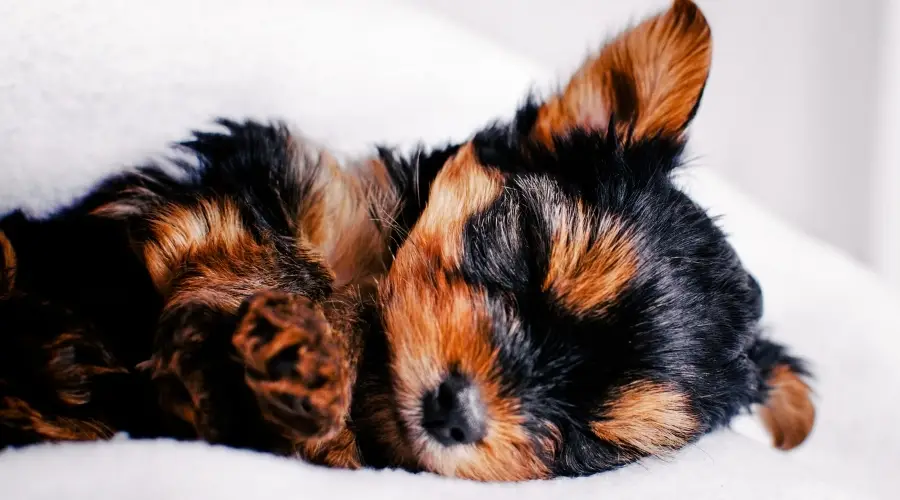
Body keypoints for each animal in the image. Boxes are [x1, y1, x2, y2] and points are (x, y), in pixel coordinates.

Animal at [1, 0, 816, 484]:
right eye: (523, 251)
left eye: (595, 441)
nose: (455, 413)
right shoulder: (209, 200)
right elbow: (272, 256)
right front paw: (308, 340)